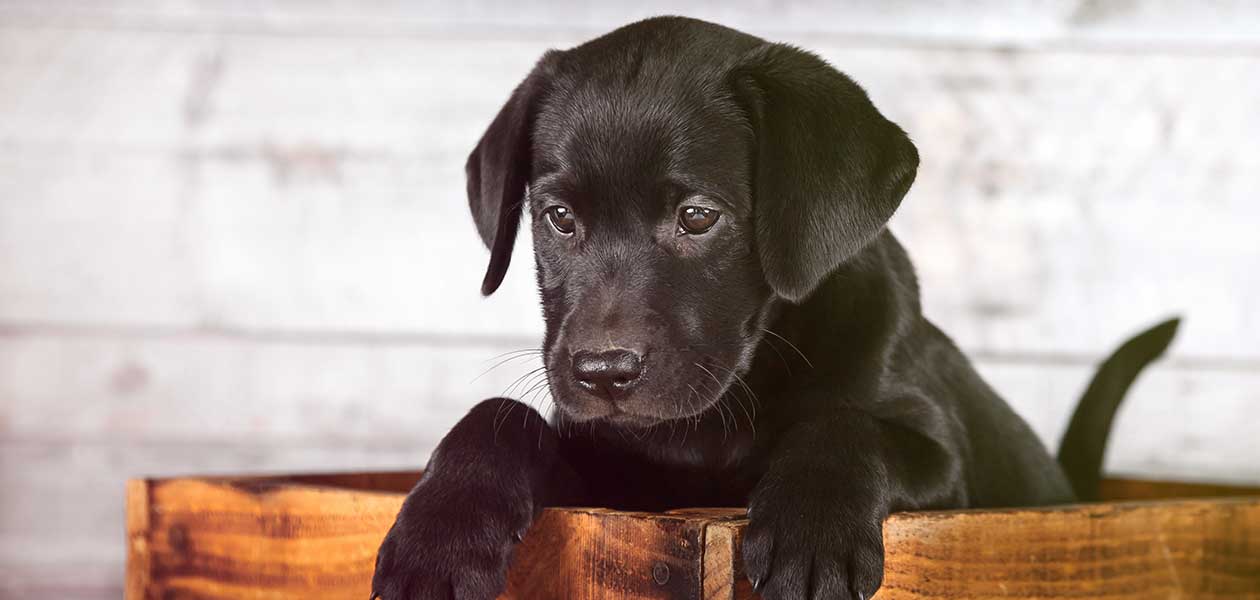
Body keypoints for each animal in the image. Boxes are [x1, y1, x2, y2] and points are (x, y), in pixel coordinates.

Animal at [367, 16, 1174, 597]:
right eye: (558, 218)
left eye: (698, 217)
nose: (604, 373)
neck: (725, 409)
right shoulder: (617, 481)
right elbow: (499, 414)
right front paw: (437, 537)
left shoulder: (948, 468)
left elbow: (846, 422)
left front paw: (811, 533)